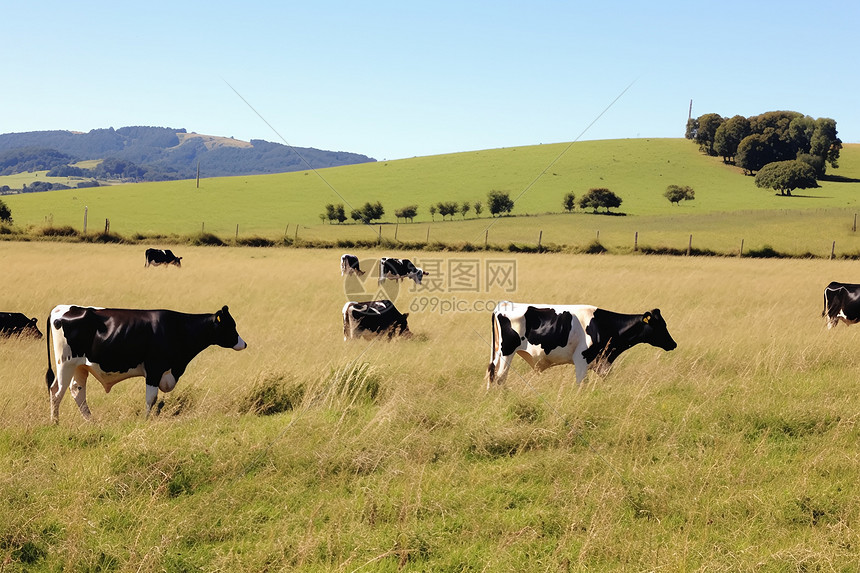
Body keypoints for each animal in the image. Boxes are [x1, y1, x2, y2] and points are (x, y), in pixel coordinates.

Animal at [45, 304, 245, 420]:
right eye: (231, 326)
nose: (244, 343)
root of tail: (62, 308)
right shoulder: (154, 370)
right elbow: (151, 398)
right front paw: (145, 420)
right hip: (65, 364)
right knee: (56, 392)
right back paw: (55, 423)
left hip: (80, 367)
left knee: (77, 391)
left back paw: (91, 421)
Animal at [488, 300, 676, 388]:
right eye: (661, 326)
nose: (673, 344)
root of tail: (504, 304)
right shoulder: (581, 359)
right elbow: (581, 383)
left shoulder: (602, 363)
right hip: (507, 352)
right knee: (500, 377)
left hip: (497, 352)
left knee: (491, 373)